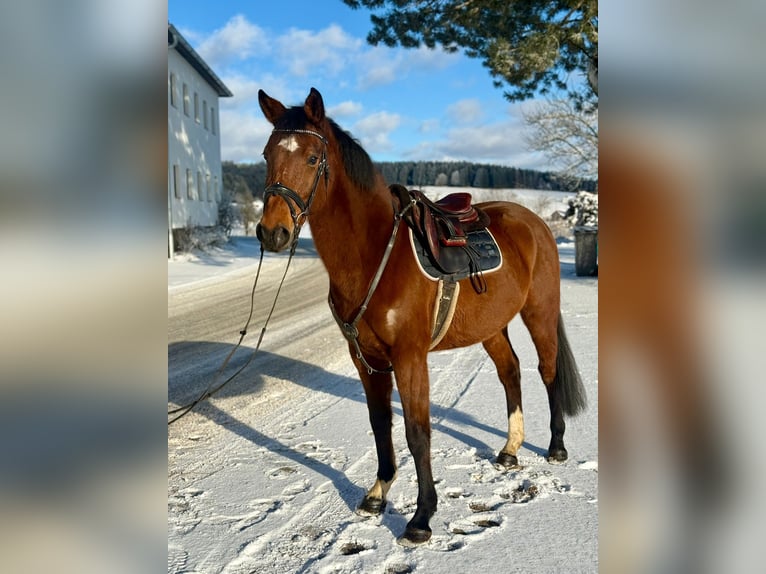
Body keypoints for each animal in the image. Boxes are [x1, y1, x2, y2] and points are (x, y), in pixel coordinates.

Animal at [256, 87, 587, 546]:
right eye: (267, 154)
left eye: (311, 157)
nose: (273, 232)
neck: (376, 253)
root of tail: (535, 223)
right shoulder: (366, 359)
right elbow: (381, 424)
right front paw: (378, 494)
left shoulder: (410, 356)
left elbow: (417, 431)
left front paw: (421, 517)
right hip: (491, 327)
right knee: (511, 372)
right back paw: (509, 450)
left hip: (539, 312)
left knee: (548, 369)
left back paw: (556, 446)